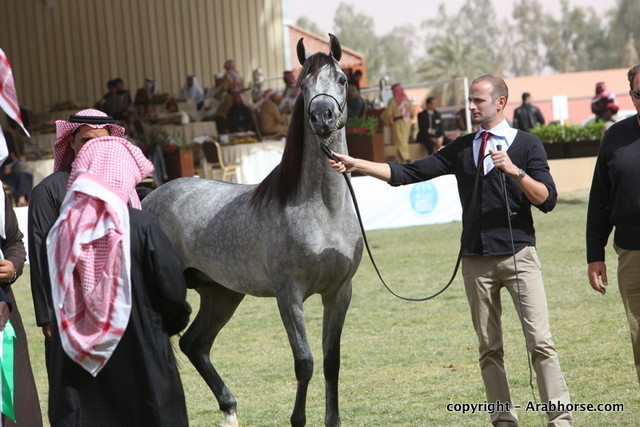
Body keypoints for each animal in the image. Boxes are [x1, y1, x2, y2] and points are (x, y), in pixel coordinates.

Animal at [142, 34, 363, 427]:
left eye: (342, 79)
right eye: (302, 85)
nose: (322, 116)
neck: (324, 210)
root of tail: (151, 196)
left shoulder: (339, 292)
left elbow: (330, 362)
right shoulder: (288, 295)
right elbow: (304, 362)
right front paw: (297, 420)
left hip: (221, 294)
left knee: (194, 344)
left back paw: (229, 409)